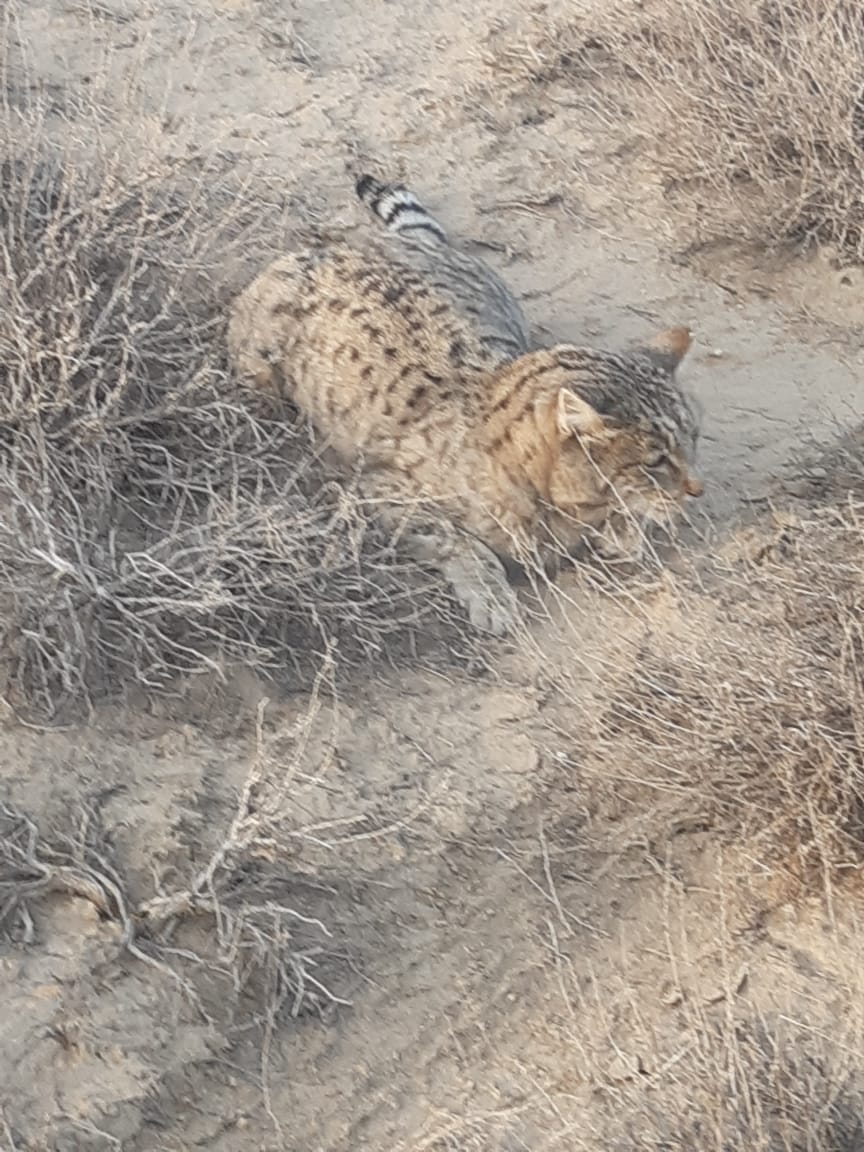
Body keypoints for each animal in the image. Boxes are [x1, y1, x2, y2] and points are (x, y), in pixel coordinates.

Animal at [226, 175, 700, 635]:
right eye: (656, 461)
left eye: (693, 440)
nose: (696, 490)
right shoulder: (376, 488)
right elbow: (455, 538)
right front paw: (490, 594)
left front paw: (624, 529)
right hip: (259, 363)